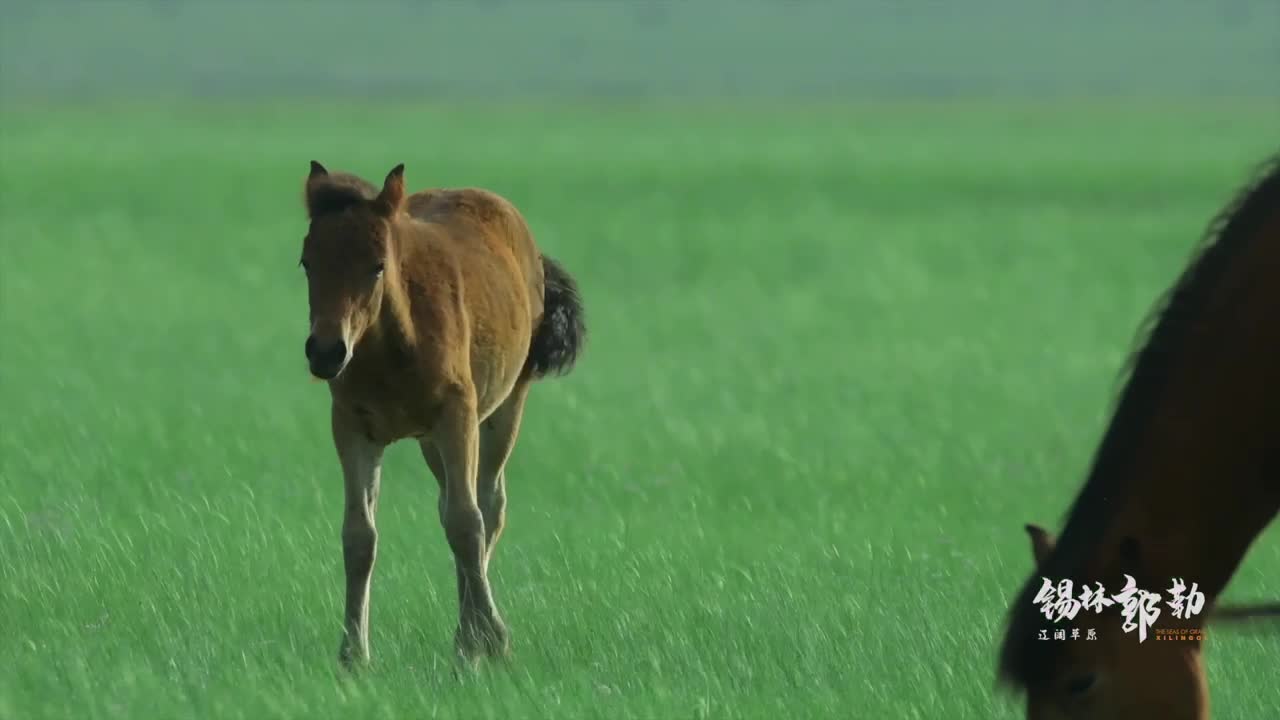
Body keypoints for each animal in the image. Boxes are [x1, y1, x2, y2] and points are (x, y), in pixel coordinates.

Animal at [299, 162, 586, 666]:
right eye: (306, 262)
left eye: (377, 265)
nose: (326, 352)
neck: (392, 346)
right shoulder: (352, 427)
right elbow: (359, 536)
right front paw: (352, 655)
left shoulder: (458, 415)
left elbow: (467, 524)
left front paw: (491, 640)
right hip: (430, 440)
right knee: (450, 503)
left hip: (503, 408)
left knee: (487, 505)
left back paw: (469, 639)